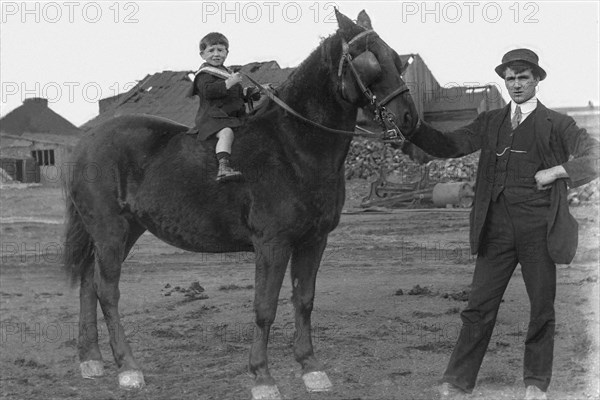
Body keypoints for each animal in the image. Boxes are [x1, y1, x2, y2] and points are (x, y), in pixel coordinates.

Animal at [62, 7, 418, 398]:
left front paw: (311, 368)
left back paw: (91, 359)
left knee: (89, 283)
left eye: (396, 58)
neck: (294, 147)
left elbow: (304, 300)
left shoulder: (314, 241)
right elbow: (265, 308)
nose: (408, 119)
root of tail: (88, 141)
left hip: (125, 231)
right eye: (369, 61)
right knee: (107, 291)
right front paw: (262, 376)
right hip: (110, 231)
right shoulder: (273, 244)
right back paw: (128, 368)